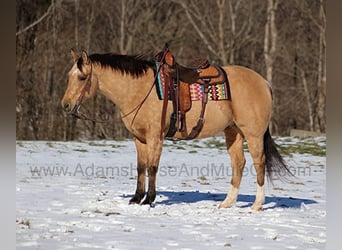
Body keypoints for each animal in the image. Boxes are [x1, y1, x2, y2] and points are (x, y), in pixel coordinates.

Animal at [60, 46, 290, 210]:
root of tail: (263, 82)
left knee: (259, 163)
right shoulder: (139, 138)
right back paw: (227, 202)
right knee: (238, 163)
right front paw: (136, 198)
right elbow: (141, 167)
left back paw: (257, 205)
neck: (140, 89)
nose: (66, 105)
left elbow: (152, 167)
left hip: (253, 134)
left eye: (82, 77)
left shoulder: (156, 137)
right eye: (69, 76)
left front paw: (149, 199)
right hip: (233, 132)